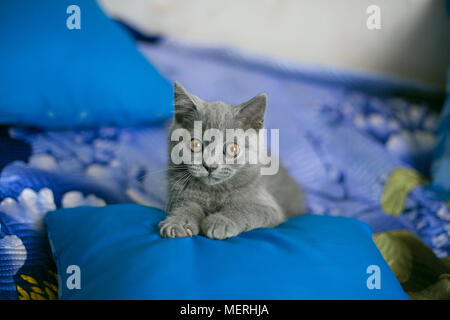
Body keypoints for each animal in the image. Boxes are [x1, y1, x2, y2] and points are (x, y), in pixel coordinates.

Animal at [159, 81, 306, 239]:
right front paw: (178, 222)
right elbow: (185, 206)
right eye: (195, 144)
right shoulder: (179, 194)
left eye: (232, 149)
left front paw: (221, 222)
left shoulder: (269, 207)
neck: (213, 192)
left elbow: (245, 208)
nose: (210, 166)